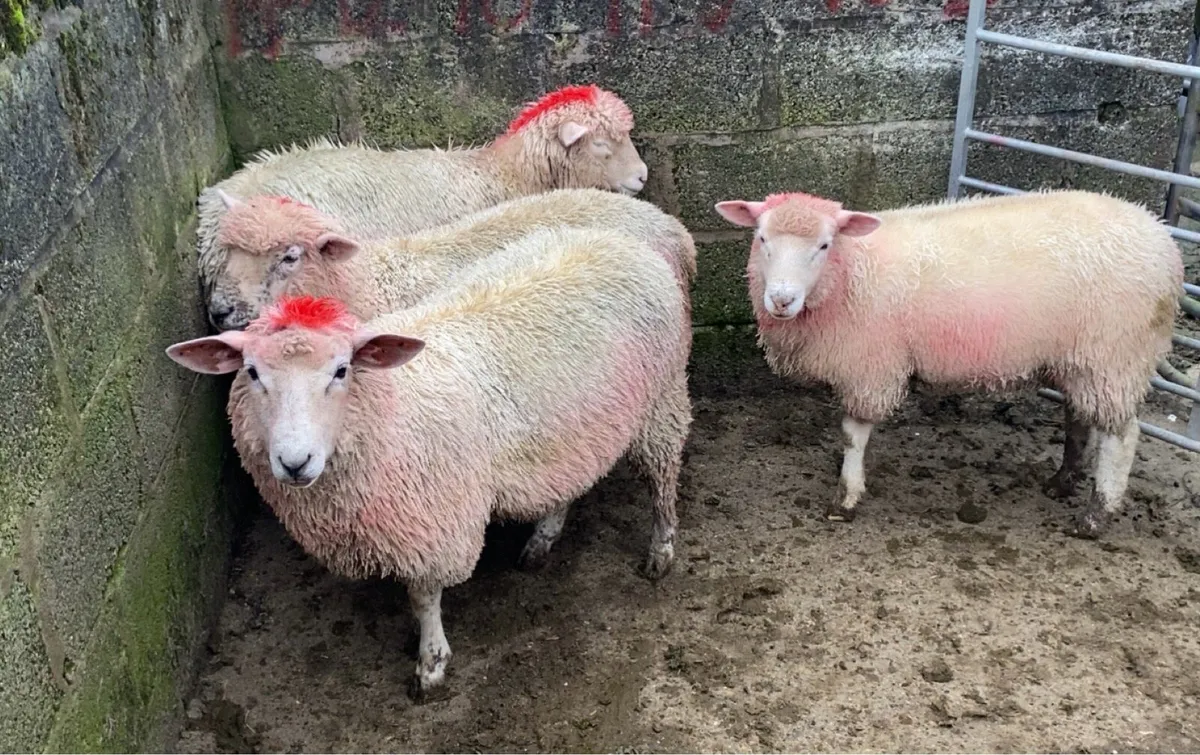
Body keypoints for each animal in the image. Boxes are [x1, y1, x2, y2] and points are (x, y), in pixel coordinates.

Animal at [165, 226, 692, 697]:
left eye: (341, 370)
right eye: (252, 372)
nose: (295, 462)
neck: (392, 404)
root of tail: (622, 242)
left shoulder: (434, 525)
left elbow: (423, 599)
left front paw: (431, 663)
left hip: (661, 398)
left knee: (663, 476)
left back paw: (661, 551)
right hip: (574, 433)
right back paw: (543, 537)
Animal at [714, 189, 1183, 539]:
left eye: (824, 245)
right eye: (762, 239)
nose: (781, 300)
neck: (853, 271)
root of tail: (1164, 240)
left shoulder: (869, 364)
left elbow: (852, 435)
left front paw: (846, 496)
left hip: (1115, 356)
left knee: (1122, 437)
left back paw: (1095, 516)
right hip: (1081, 360)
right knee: (1079, 421)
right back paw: (1061, 481)